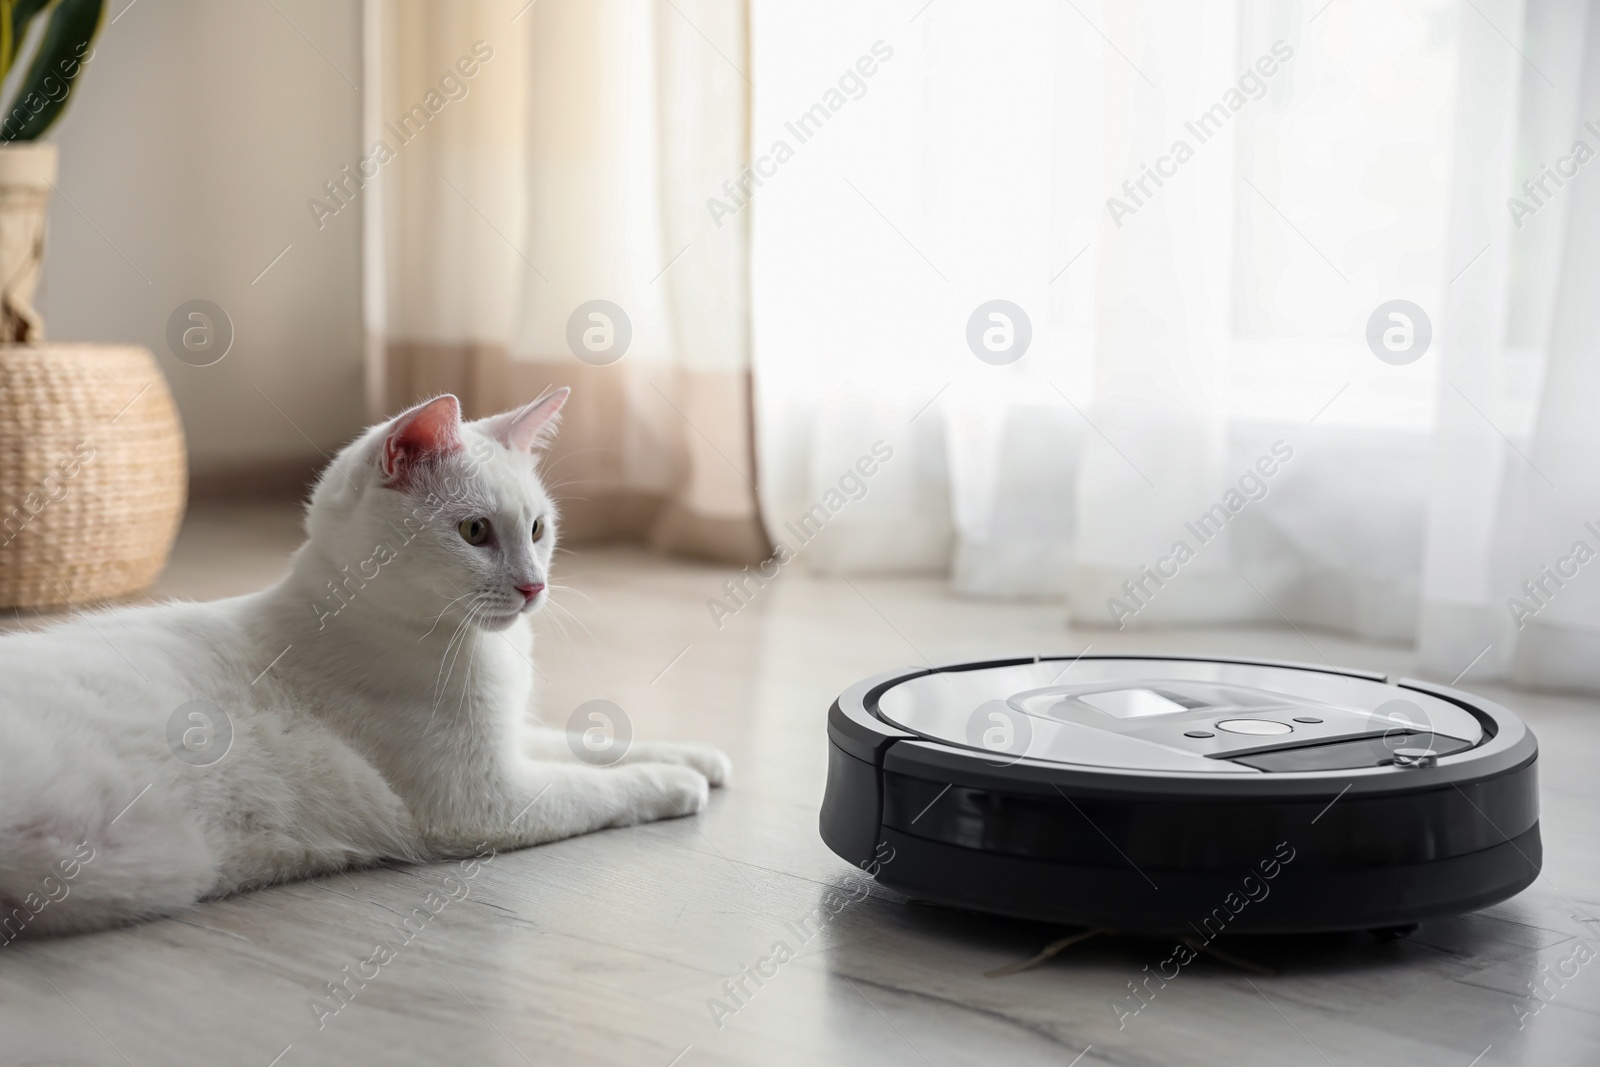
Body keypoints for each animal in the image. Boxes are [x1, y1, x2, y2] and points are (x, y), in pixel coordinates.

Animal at [0, 388, 726, 940]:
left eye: (538, 529)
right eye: (475, 532)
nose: (533, 587)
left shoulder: (509, 738)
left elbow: (589, 742)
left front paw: (699, 757)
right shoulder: (487, 797)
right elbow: (598, 788)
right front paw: (675, 782)